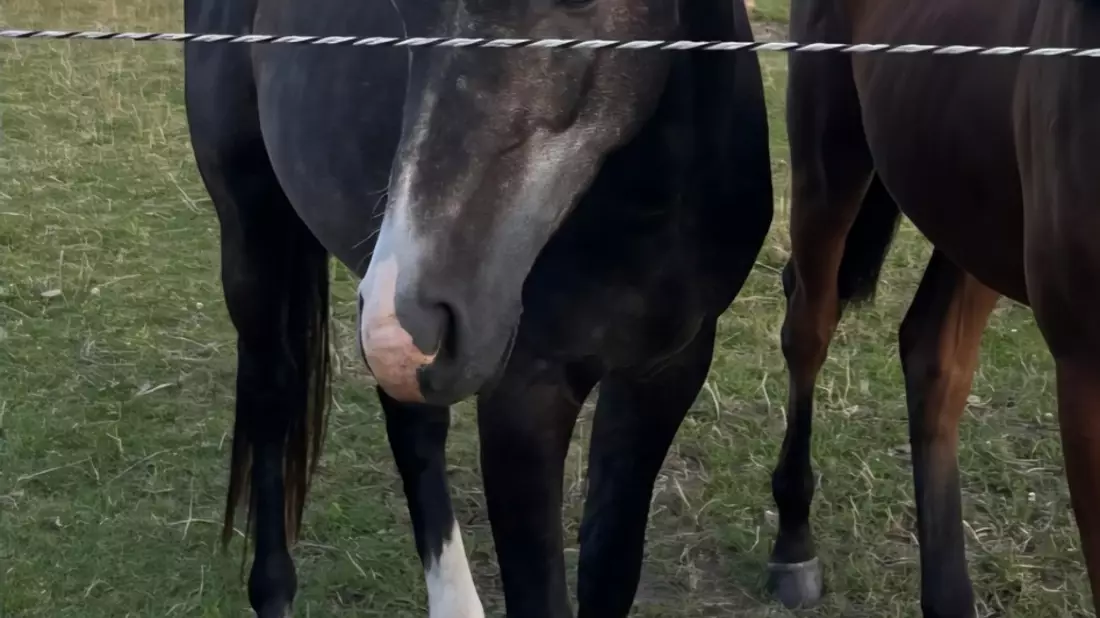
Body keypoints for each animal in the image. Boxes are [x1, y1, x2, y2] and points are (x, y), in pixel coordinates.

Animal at [182, 0, 774, 615]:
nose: (409, 313)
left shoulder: (665, 373)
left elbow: (611, 568)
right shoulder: (524, 397)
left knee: (411, 425)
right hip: (252, 225)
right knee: (272, 392)